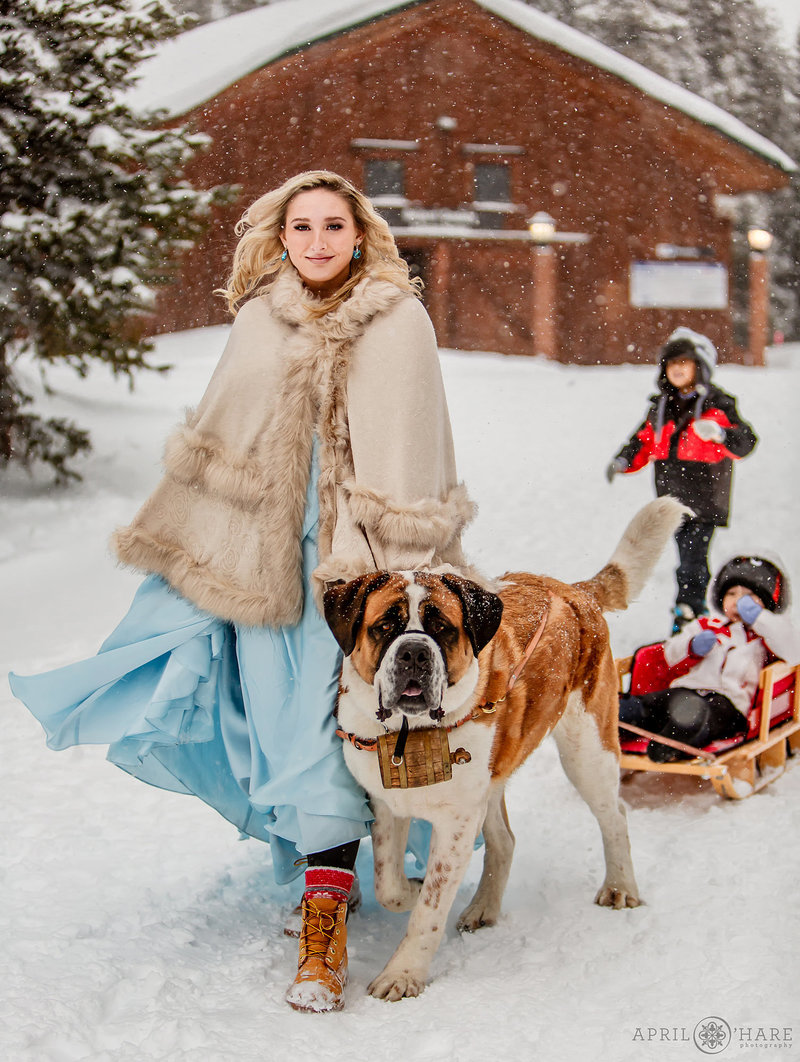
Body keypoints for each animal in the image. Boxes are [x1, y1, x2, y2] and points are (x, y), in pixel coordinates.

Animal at [320, 492, 684, 998]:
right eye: (385, 626)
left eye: (443, 628)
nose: (414, 652)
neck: (411, 734)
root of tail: (576, 592)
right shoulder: (386, 803)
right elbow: (388, 885)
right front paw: (409, 889)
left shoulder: (456, 823)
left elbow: (429, 910)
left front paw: (403, 974)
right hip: (496, 771)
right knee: (506, 839)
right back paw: (483, 908)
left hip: (586, 750)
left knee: (614, 814)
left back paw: (621, 886)